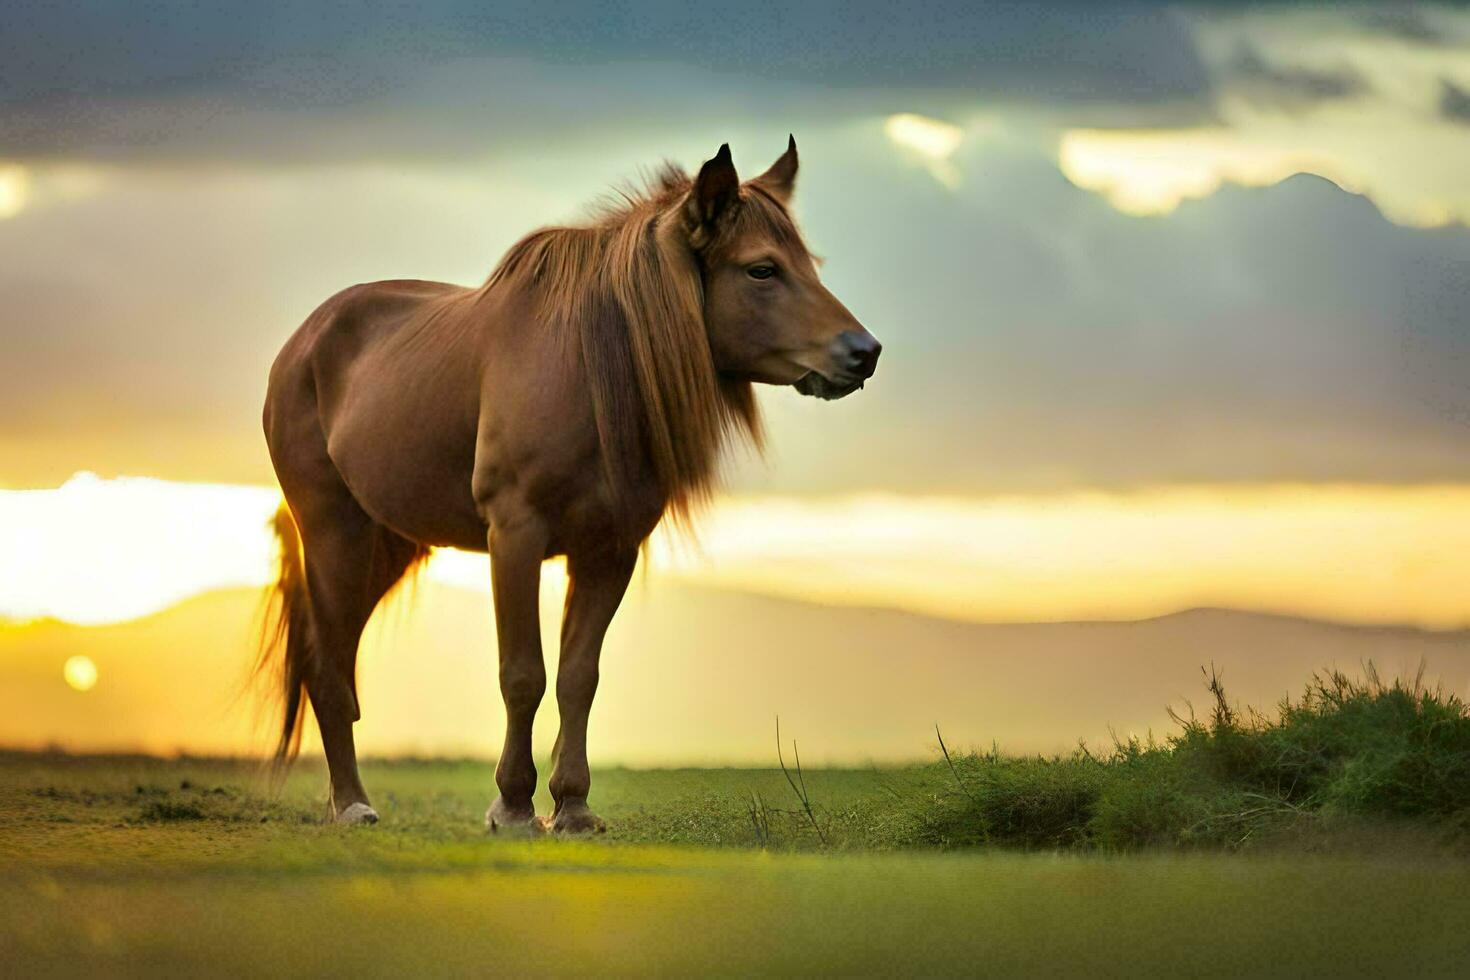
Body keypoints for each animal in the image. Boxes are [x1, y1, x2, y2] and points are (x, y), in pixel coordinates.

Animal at [261, 135, 882, 828]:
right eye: (762, 270)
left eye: (809, 263)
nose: (863, 352)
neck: (587, 370)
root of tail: (304, 341)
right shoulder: (515, 536)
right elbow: (522, 674)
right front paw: (512, 806)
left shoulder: (608, 551)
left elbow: (578, 675)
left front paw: (572, 805)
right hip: (333, 532)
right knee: (326, 666)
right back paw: (352, 804)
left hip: (387, 543)